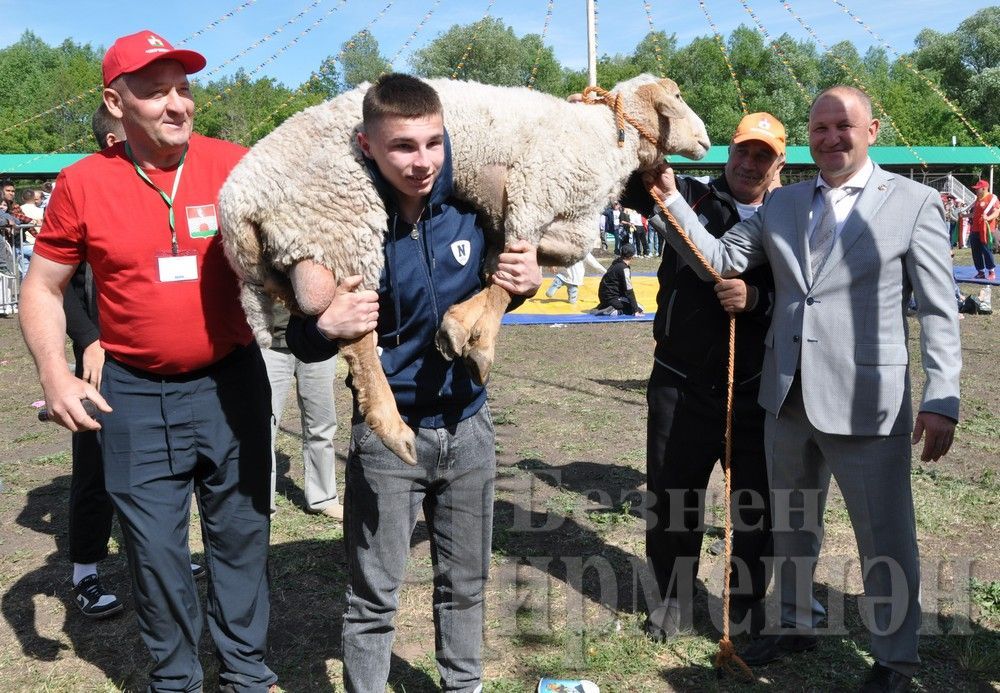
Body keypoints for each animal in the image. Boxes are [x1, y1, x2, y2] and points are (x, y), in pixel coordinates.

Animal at [219, 73, 708, 462]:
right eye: (678, 96)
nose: (705, 140)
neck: (606, 138)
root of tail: (236, 203)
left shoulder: (542, 220)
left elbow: (504, 271)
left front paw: (459, 327)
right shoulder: (535, 192)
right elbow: (511, 273)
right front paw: (480, 344)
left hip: (293, 255)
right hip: (341, 224)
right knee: (358, 340)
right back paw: (392, 427)